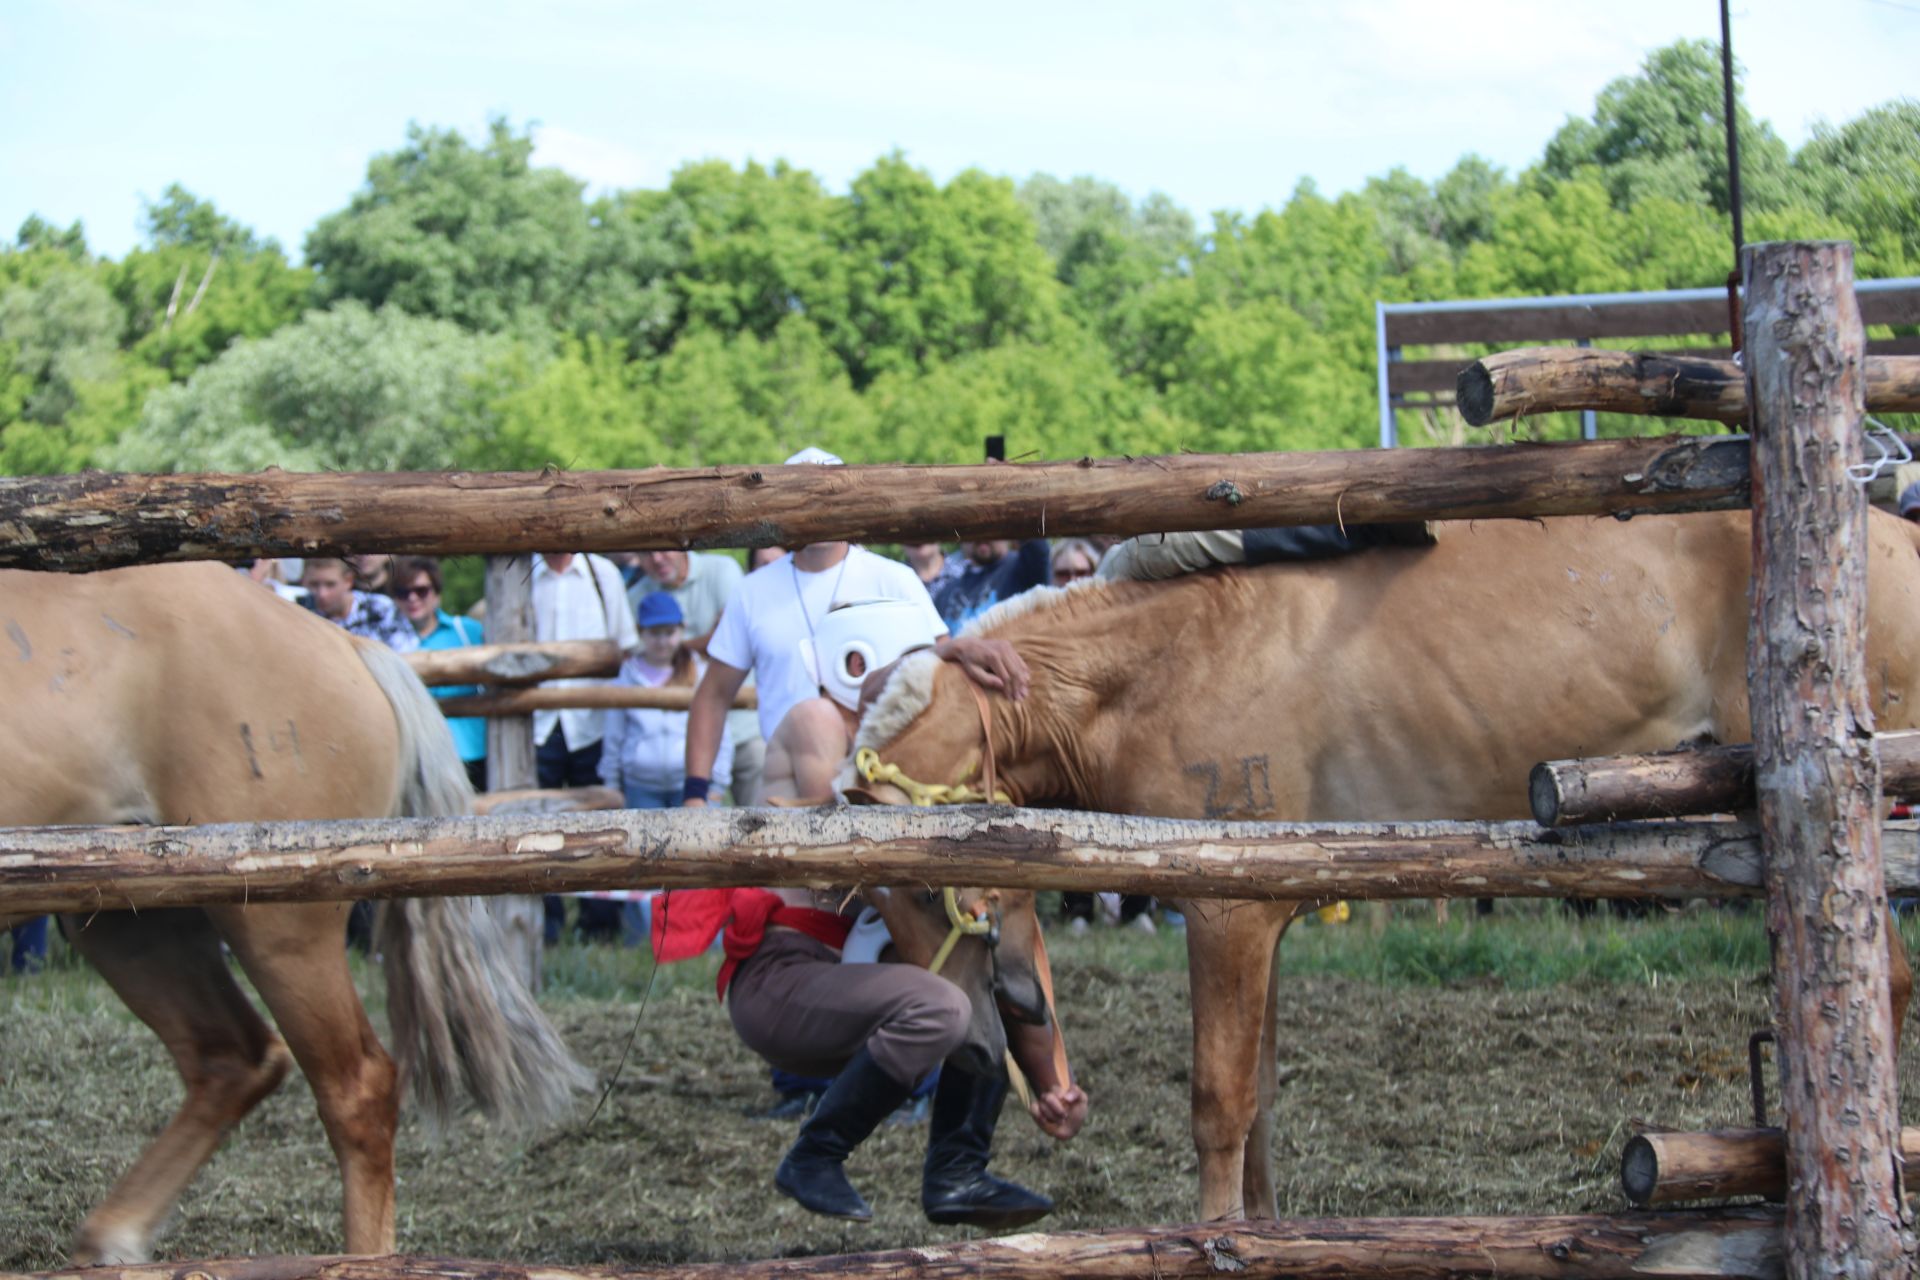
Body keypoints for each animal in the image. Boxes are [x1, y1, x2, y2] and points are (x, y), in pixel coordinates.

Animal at [0, 564, 587, 1266]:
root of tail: (346, 646)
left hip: (279, 930)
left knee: (356, 1090)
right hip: (134, 925)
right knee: (229, 1057)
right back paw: (112, 1239)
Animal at [856, 510, 1920, 1220]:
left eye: (931, 888)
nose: (977, 1044)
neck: (1168, 657)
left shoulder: (1224, 910)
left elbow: (1219, 1104)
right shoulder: (1265, 915)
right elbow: (1261, 1104)